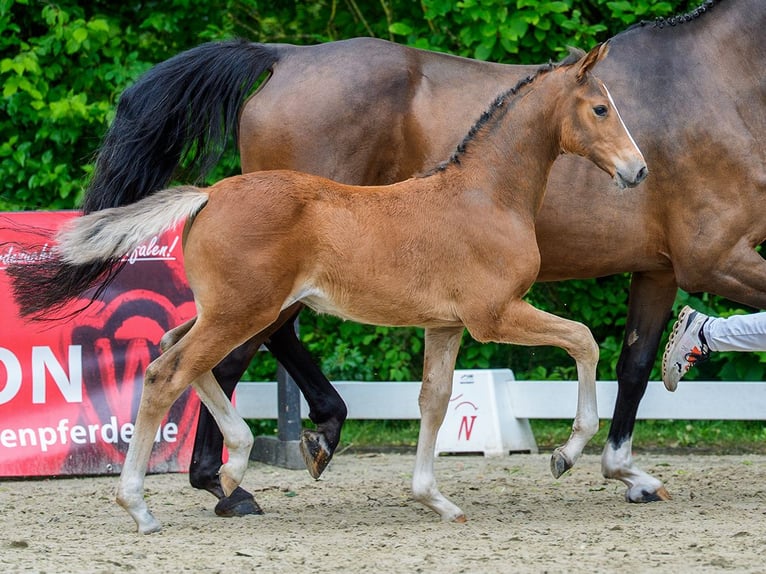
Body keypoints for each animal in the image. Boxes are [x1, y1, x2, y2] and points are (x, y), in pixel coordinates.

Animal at [18, 0, 765, 516]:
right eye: (601, 109)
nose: (637, 171)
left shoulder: (647, 271)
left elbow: (613, 368)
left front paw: (619, 472)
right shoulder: (692, 262)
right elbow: (591, 343)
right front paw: (573, 455)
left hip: (244, 299)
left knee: (196, 350)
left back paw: (253, 462)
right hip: (254, 300)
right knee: (202, 361)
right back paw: (216, 484)